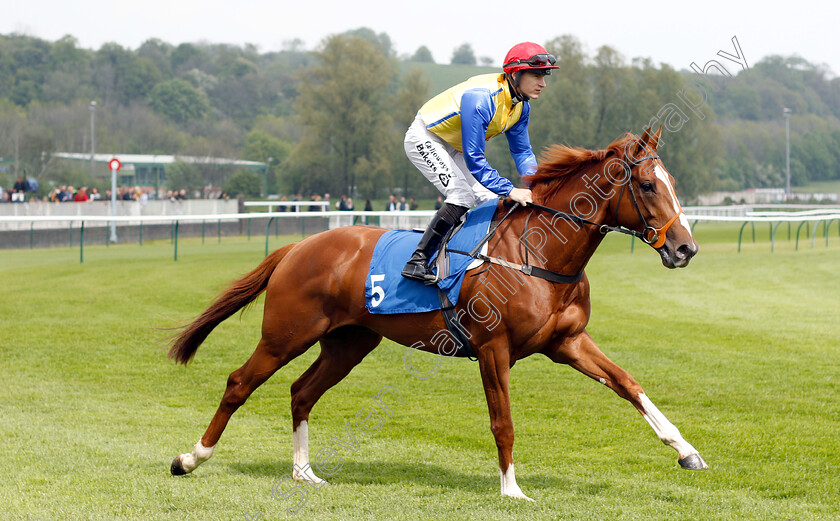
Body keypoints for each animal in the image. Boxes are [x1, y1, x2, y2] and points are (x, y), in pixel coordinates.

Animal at [167, 127, 704, 500]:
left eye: (673, 183)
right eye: (647, 185)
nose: (686, 249)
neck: (539, 252)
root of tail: (299, 245)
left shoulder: (567, 343)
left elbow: (629, 384)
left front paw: (686, 451)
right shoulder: (493, 349)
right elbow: (503, 420)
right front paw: (512, 490)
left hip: (349, 342)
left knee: (302, 391)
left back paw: (304, 472)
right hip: (286, 333)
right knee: (240, 382)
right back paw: (191, 458)